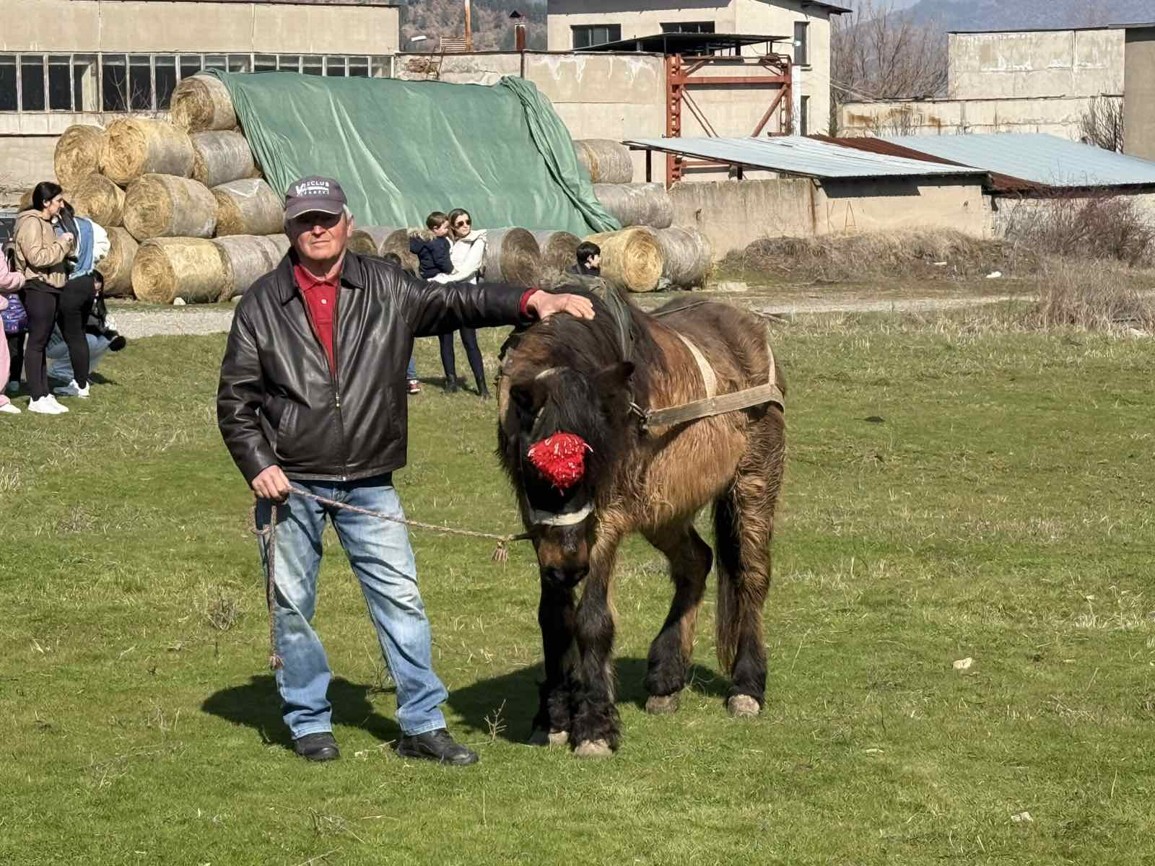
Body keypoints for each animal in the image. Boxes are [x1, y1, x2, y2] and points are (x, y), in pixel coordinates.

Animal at [496, 281, 787, 758]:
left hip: (754, 480)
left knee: (751, 575)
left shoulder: (606, 521)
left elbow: (593, 620)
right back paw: (667, 678)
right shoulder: (544, 531)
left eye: (595, 465)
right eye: (534, 469)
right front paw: (552, 719)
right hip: (663, 507)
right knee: (695, 562)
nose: (569, 568)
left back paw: (747, 684)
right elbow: (554, 619)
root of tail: (749, 326)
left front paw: (594, 726)